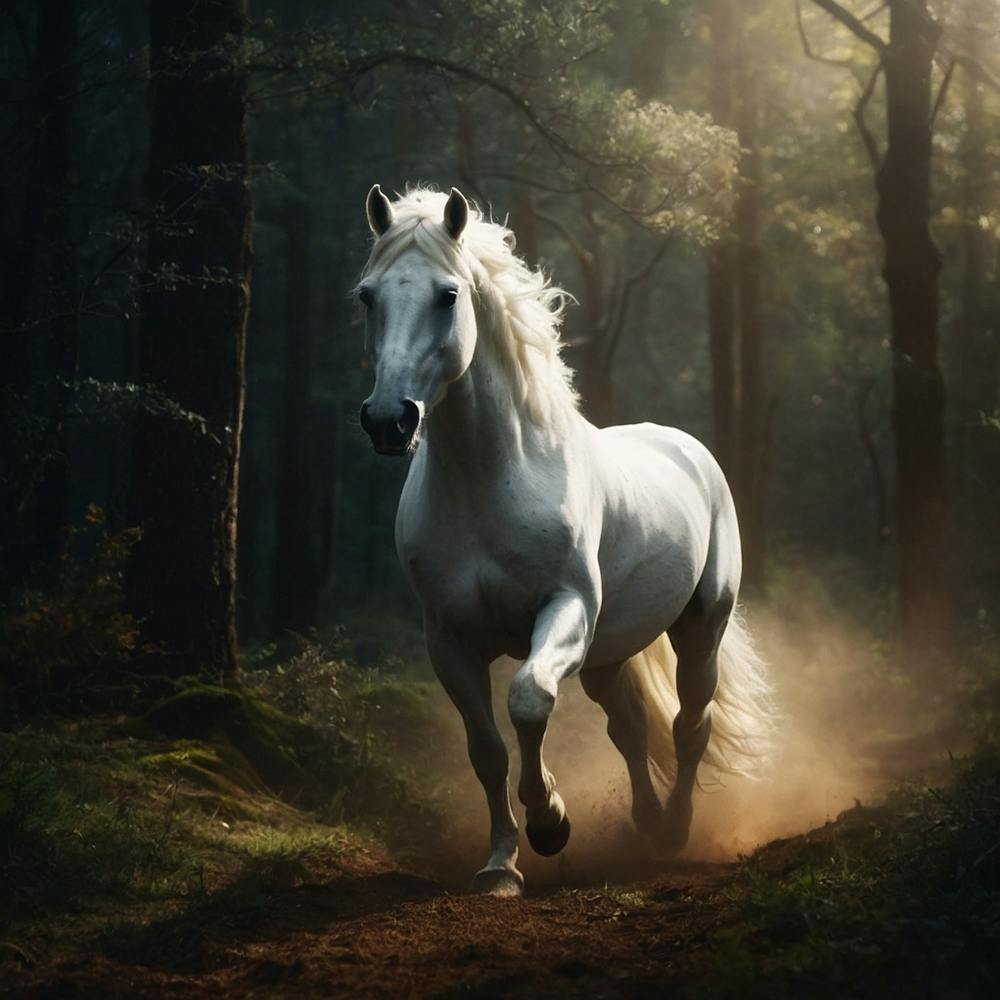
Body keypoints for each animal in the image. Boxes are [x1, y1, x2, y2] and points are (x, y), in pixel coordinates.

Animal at [356, 184, 772, 896]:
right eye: (367, 296)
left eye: (447, 294)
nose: (389, 420)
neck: (494, 479)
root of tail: (688, 448)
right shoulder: (449, 639)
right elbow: (487, 749)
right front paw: (501, 864)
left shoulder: (566, 610)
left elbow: (529, 700)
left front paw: (550, 820)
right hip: (607, 656)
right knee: (630, 729)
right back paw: (646, 823)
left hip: (699, 627)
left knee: (691, 725)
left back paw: (675, 831)